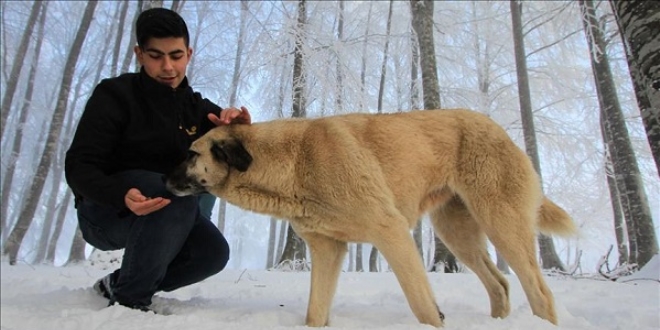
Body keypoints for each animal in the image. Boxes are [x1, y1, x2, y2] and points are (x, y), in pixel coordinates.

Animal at [166, 109, 576, 328]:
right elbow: (315, 312)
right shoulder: (328, 249)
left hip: (501, 223)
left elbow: (423, 305)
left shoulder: (391, 232)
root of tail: (499, 129)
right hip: (457, 233)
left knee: (540, 292)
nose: (164, 180)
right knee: (500, 284)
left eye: (191, 154)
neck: (295, 162)